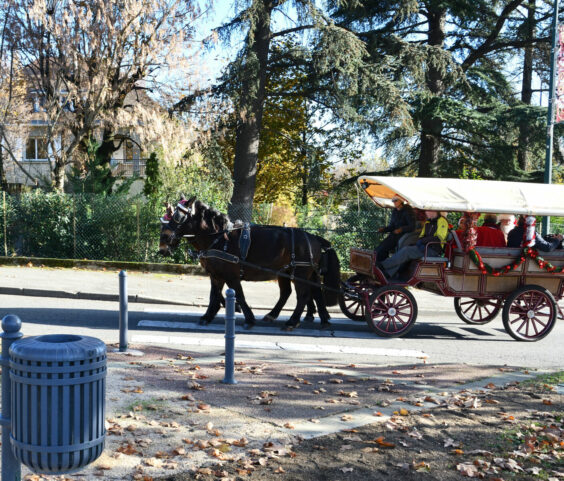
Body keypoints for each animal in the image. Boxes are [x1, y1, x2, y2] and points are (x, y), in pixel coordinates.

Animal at [159, 197, 340, 328]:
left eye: (178, 216)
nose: (164, 242)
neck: (220, 238)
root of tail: (313, 237)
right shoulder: (216, 275)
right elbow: (214, 296)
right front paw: (208, 316)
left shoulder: (231, 276)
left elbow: (239, 295)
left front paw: (249, 318)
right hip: (289, 273)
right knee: (296, 293)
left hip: (300, 273)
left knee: (303, 295)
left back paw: (293, 321)